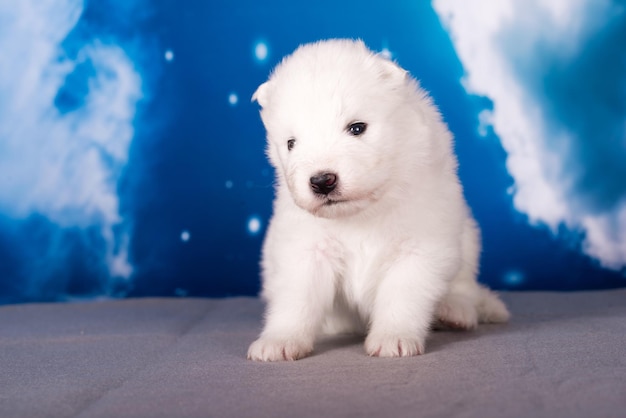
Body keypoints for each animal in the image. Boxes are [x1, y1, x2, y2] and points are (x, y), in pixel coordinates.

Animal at [245, 38, 508, 362]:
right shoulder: (307, 249)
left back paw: (454, 311)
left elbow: (402, 295)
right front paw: (280, 340)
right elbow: (297, 299)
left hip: (467, 239)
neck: (362, 213)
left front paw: (393, 338)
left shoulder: (421, 245)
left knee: (464, 286)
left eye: (357, 128)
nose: (321, 181)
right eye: (291, 143)